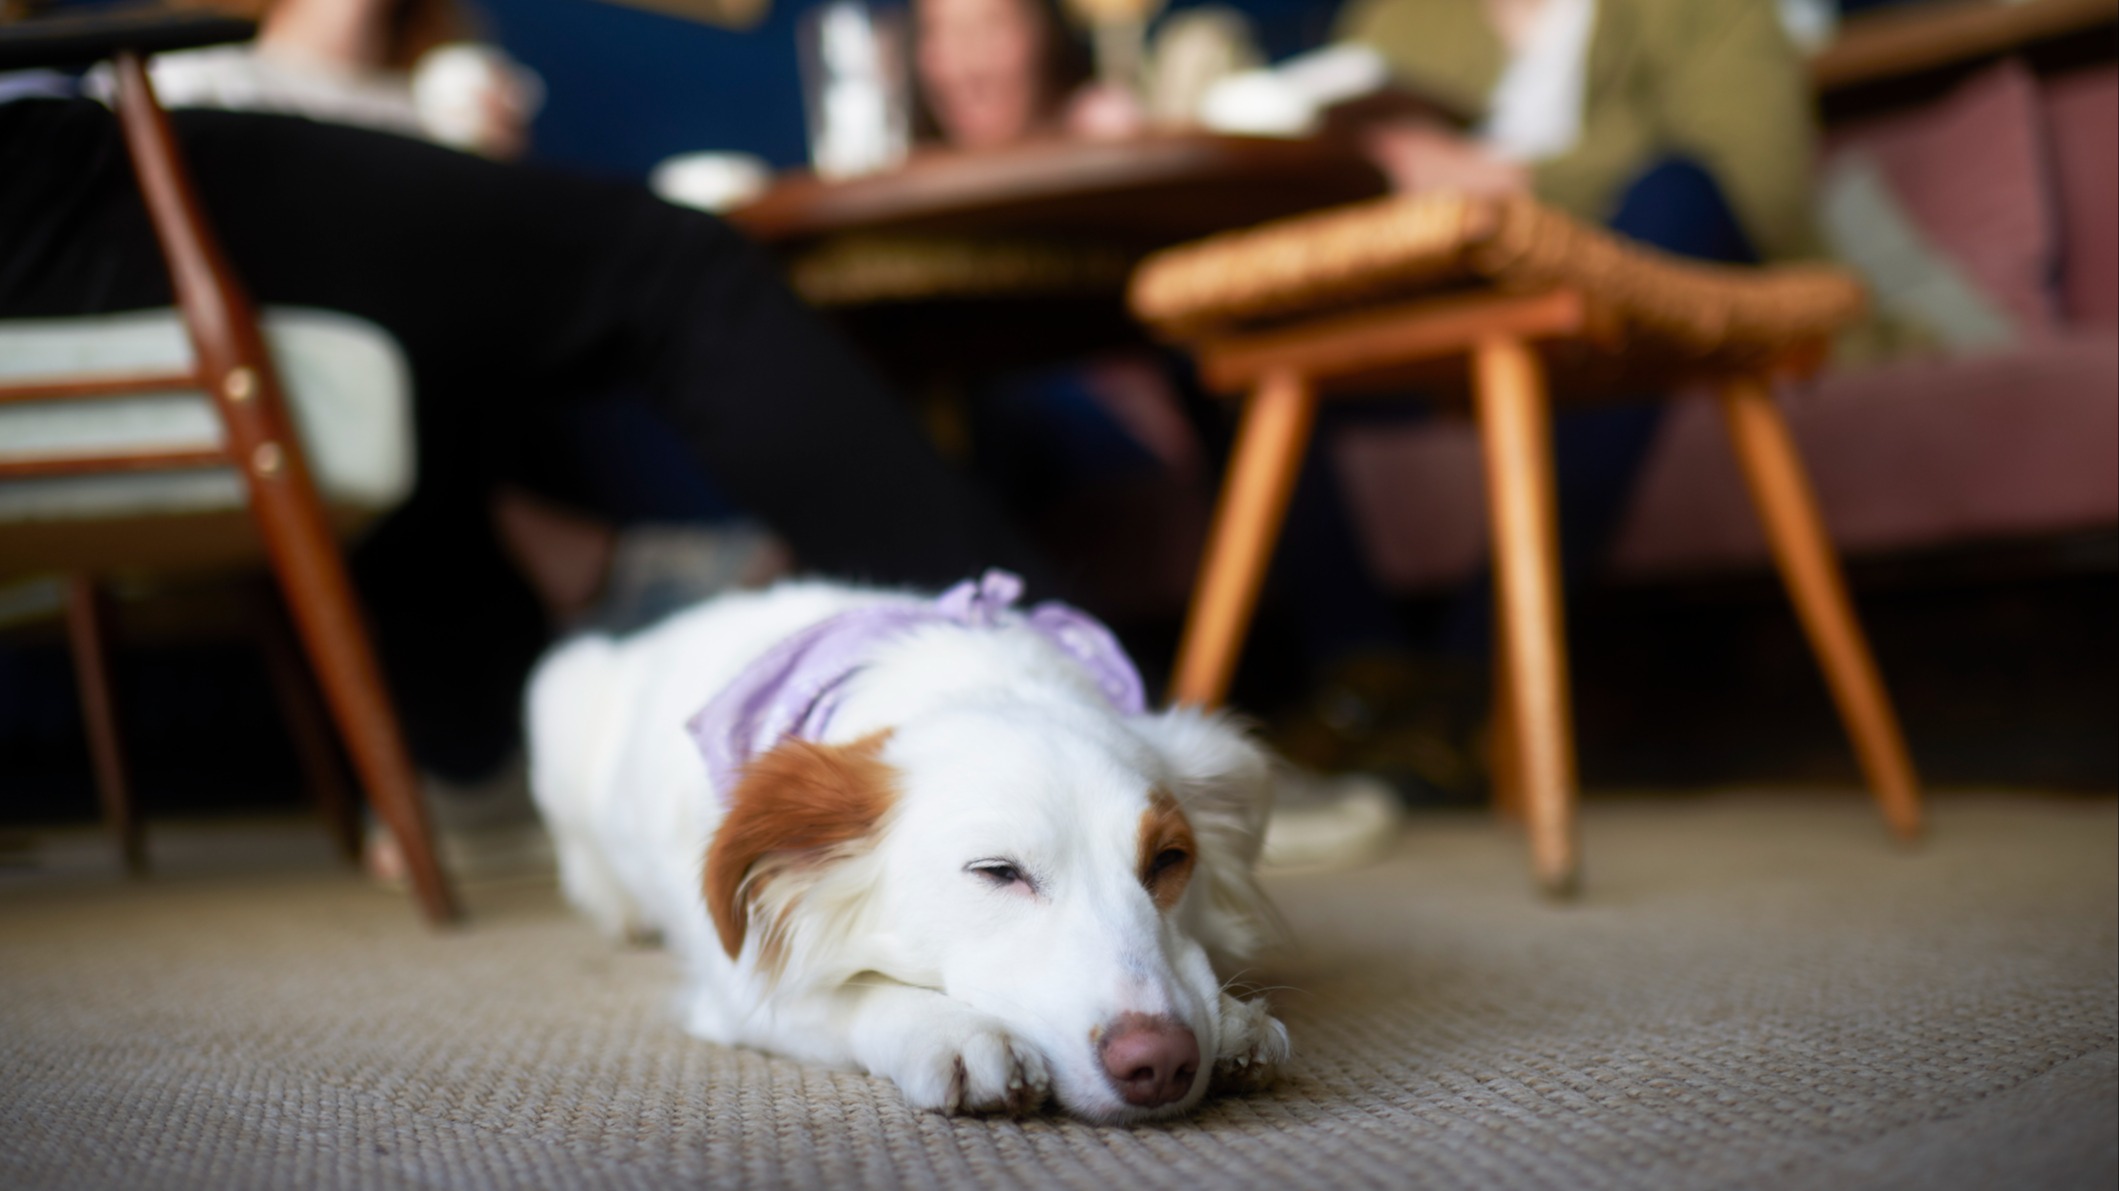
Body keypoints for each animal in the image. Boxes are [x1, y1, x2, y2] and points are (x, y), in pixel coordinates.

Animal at [529, 572, 1288, 1118]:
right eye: (996, 871)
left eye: (1168, 861)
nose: (1160, 1062)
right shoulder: (742, 982)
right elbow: (850, 993)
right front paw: (952, 1030)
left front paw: (1231, 1019)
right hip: (559, 692)